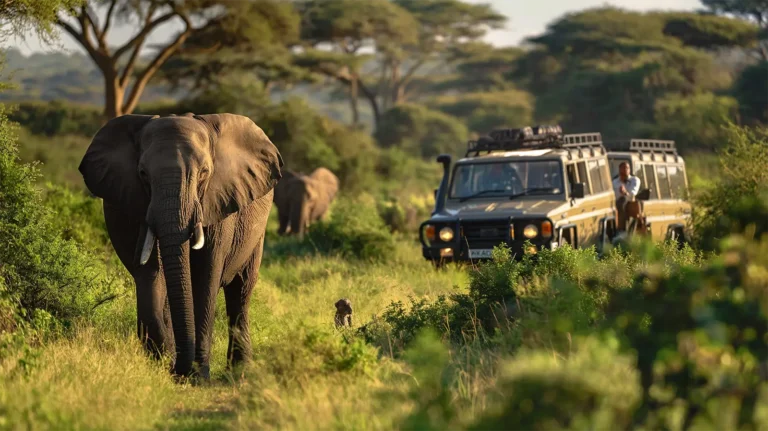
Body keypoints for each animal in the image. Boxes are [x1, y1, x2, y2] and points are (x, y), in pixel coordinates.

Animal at [77, 113, 284, 380]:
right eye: (143, 174)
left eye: (205, 172)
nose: (179, 370)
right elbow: (151, 273)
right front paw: (164, 363)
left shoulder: (218, 201)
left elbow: (206, 276)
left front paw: (198, 376)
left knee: (241, 291)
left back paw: (239, 372)